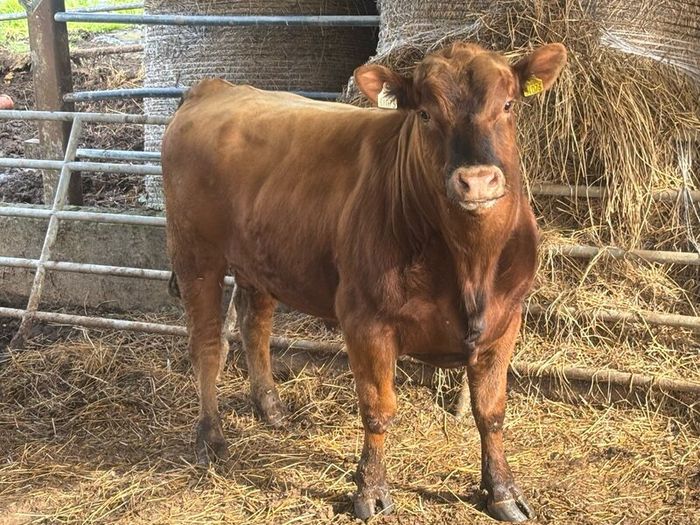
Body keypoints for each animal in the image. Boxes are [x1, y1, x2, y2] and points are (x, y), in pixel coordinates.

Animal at [161, 41, 567, 522]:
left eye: (507, 105)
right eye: (425, 113)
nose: (477, 180)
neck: (471, 265)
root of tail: (216, 88)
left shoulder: (507, 320)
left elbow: (491, 411)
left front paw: (502, 491)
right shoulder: (365, 319)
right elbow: (377, 408)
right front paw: (370, 490)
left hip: (256, 258)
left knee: (253, 326)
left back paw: (271, 408)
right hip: (195, 253)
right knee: (207, 344)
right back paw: (211, 438)